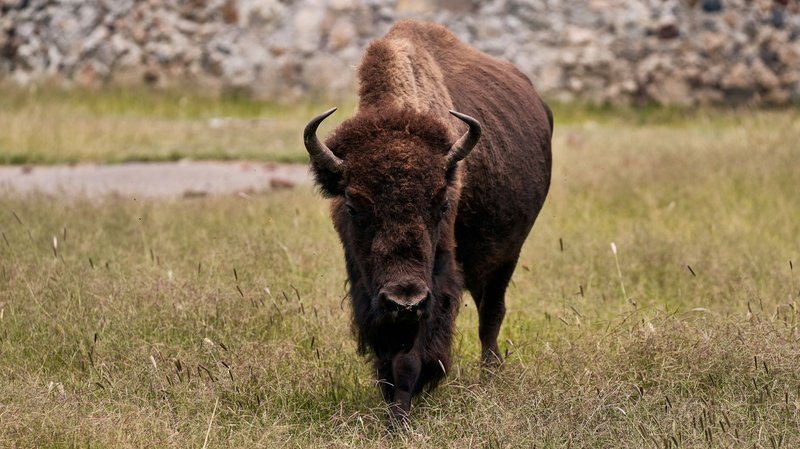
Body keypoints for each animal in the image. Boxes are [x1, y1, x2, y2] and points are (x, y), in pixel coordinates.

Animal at [303, 20, 552, 424]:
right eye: (353, 206)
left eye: (442, 204)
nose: (404, 301)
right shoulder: (366, 287)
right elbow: (386, 351)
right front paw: (391, 406)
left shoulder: (435, 286)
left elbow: (410, 357)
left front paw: (399, 420)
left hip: (508, 255)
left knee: (491, 314)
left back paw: (491, 375)